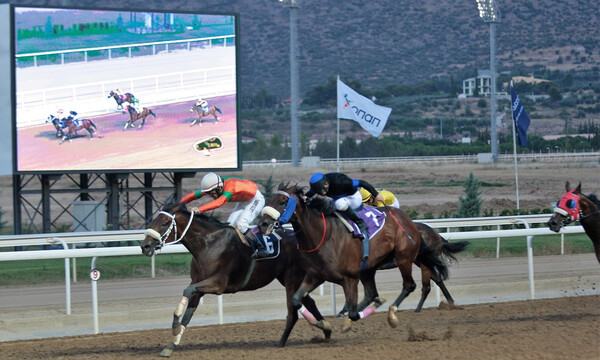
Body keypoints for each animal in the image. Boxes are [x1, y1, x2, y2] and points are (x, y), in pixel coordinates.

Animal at [139, 200, 330, 358]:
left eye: (164, 223)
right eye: (153, 221)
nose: (145, 246)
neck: (208, 244)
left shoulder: (218, 284)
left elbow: (186, 291)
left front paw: (175, 324)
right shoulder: (199, 285)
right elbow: (188, 314)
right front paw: (171, 345)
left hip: (291, 277)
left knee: (293, 312)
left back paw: (283, 342)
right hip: (286, 278)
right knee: (307, 300)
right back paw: (325, 328)